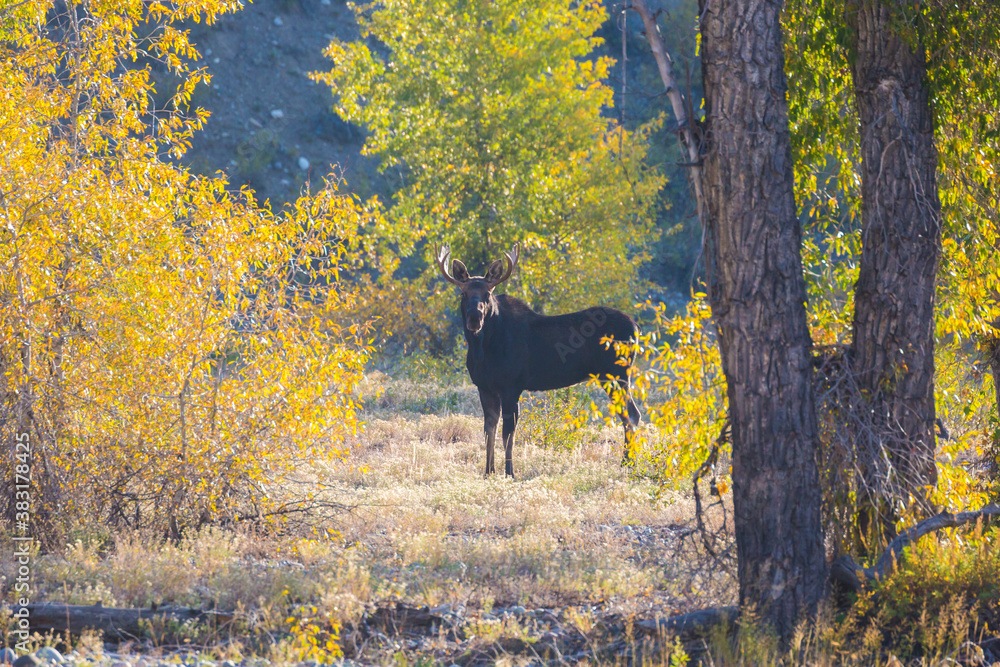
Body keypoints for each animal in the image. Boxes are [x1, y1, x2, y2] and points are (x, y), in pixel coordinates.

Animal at [436, 243, 641, 478]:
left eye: (488, 293)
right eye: (463, 292)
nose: (474, 318)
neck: (483, 349)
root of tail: (636, 327)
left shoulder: (511, 387)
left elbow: (508, 434)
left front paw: (510, 473)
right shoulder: (484, 387)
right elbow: (489, 430)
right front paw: (488, 472)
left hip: (616, 374)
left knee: (631, 415)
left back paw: (628, 464)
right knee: (630, 415)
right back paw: (628, 463)